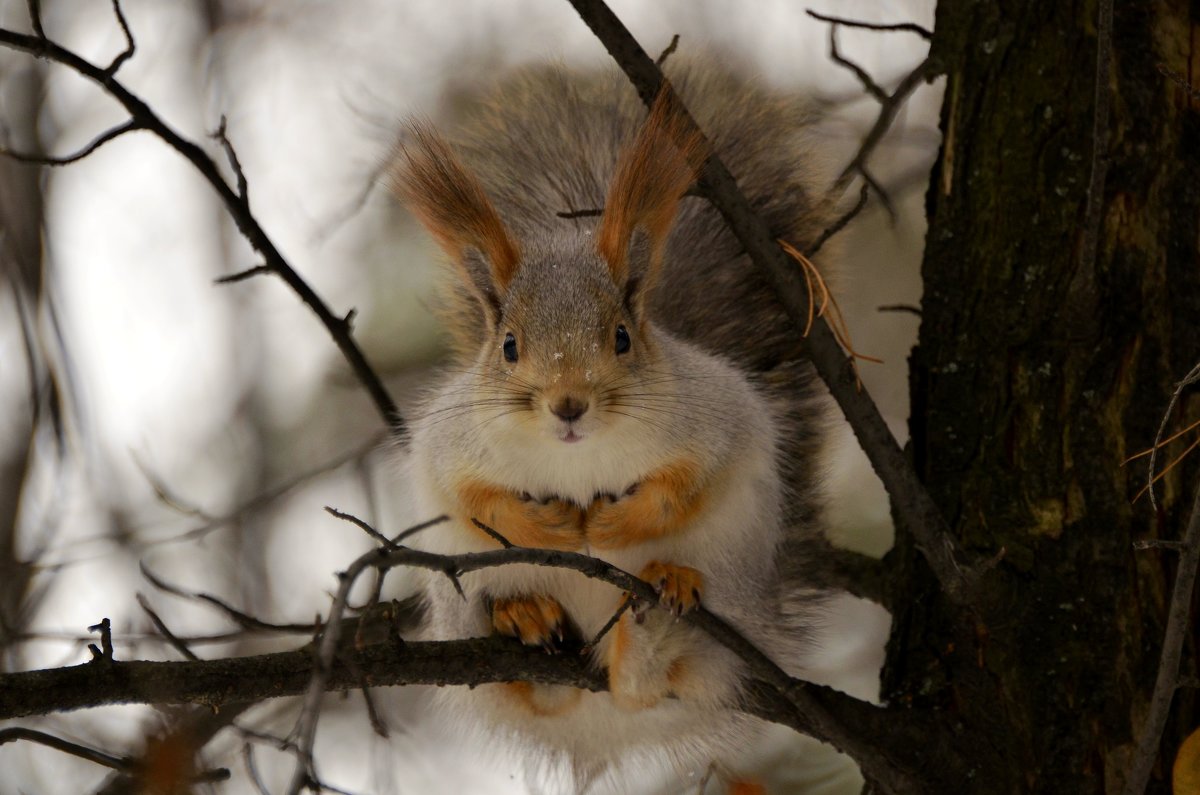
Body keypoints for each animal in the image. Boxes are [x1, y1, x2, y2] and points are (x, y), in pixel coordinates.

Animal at [393, 59, 835, 792]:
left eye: (622, 338)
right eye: (508, 346)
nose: (568, 404)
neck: (577, 459)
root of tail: (599, 727)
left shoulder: (717, 421)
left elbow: (686, 485)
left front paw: (610, 526)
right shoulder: (449, 447)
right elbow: (471, 497)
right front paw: (544, 527)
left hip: (730, 599)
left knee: (640, 687)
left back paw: (657, 614)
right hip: (463, 612)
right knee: (533, 691)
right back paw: (524, 617)